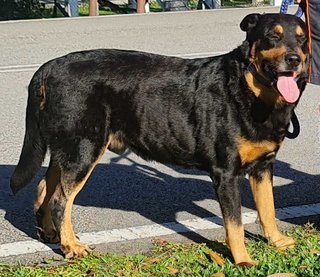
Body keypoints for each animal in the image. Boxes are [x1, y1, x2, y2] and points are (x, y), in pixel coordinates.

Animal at [10, 12, 310, 264]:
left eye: (302, 38)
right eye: (273, 36)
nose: (294, 59)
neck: (249, 90)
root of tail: (48, 68)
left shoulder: (263, 167)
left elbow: (268, 210)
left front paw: (277, 241)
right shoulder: (226, 174)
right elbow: (234, 225)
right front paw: (243, 260)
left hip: (67, 150)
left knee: (44, 189)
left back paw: (51, 233)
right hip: (84, 150)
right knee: (61, 200)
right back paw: (71, 246)